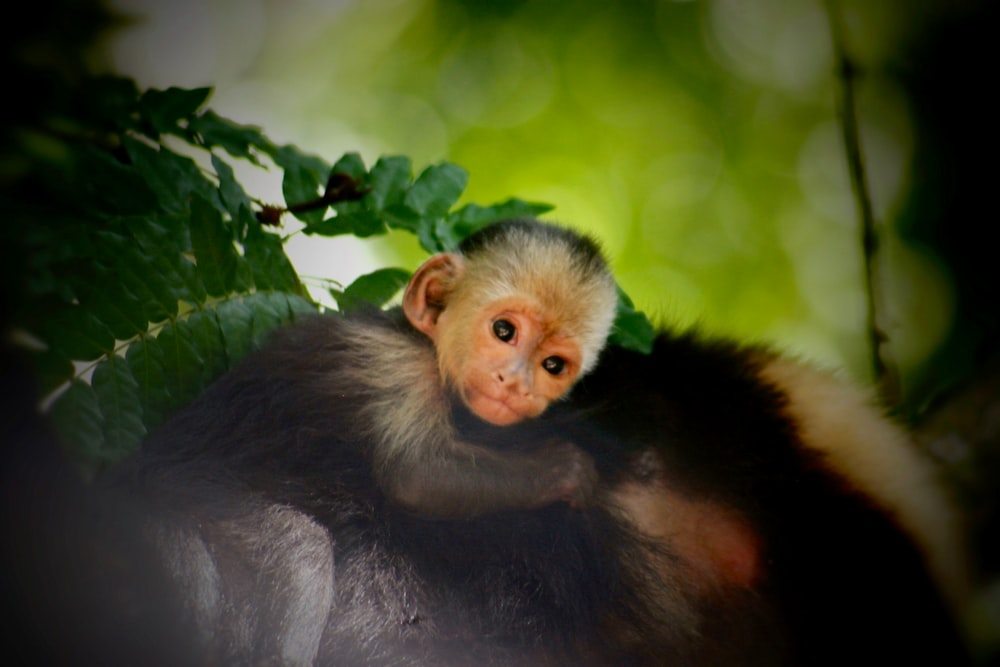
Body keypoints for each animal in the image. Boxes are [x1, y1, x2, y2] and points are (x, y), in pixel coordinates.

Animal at [352, 219, 616, 516]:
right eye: (503, 330)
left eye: (553, 364)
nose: (514, 381)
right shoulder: (399, 364)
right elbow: (417, 471)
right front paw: (560, 470)